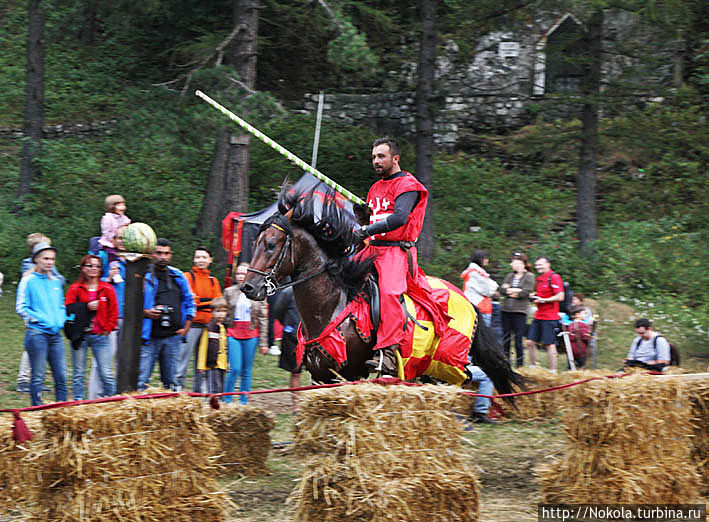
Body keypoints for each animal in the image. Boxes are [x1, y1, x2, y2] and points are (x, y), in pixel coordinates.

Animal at [243, 187, 520, 394]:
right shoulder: (321, 376)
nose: (249, 287)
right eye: (255, 242)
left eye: (271, 244)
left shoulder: (351, 373)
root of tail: (469, 302)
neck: (332, 305)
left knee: (467, 379)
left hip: (448, 363)